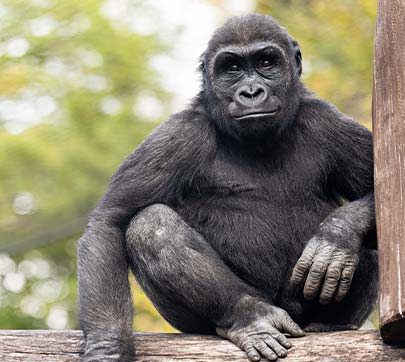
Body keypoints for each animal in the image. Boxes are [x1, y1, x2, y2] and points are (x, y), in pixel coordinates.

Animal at [77, 14, 378, 362]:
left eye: (266, 62)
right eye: (232, 68)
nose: (251, 91)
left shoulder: (328, 123)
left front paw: (337, 235)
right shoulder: (178, 136)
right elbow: (110, 222)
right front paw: (108, 348)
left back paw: (331, 321)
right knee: (150, 224)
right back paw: (249, 318)